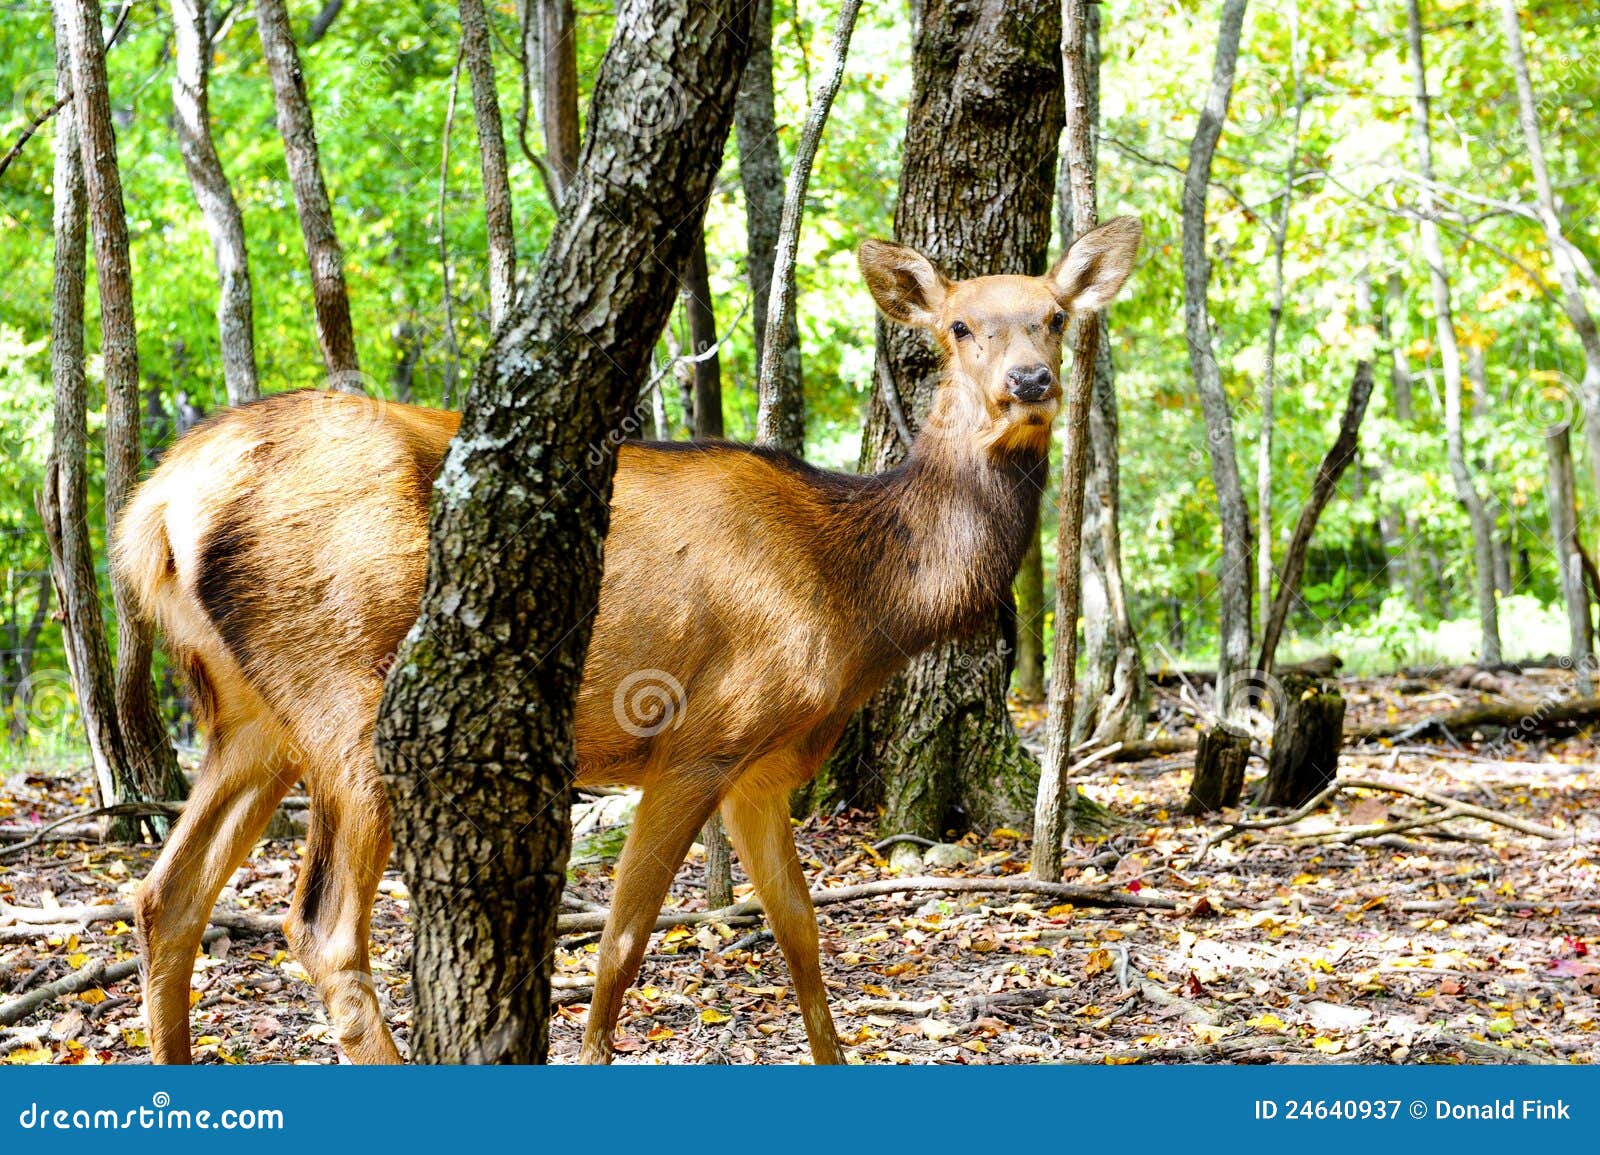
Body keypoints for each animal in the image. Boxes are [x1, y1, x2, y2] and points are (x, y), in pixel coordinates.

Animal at [116, 215, 1139, 1062]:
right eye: (961, 326)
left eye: (1053, 316)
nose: (1031, 383)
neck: (858, 596)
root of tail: (155, 505)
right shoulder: (699, 736)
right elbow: (622, 942)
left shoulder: (763, 771)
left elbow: (802, 938)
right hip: (341, 686)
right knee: (320, 927)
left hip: (246, 712)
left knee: (167, 894)